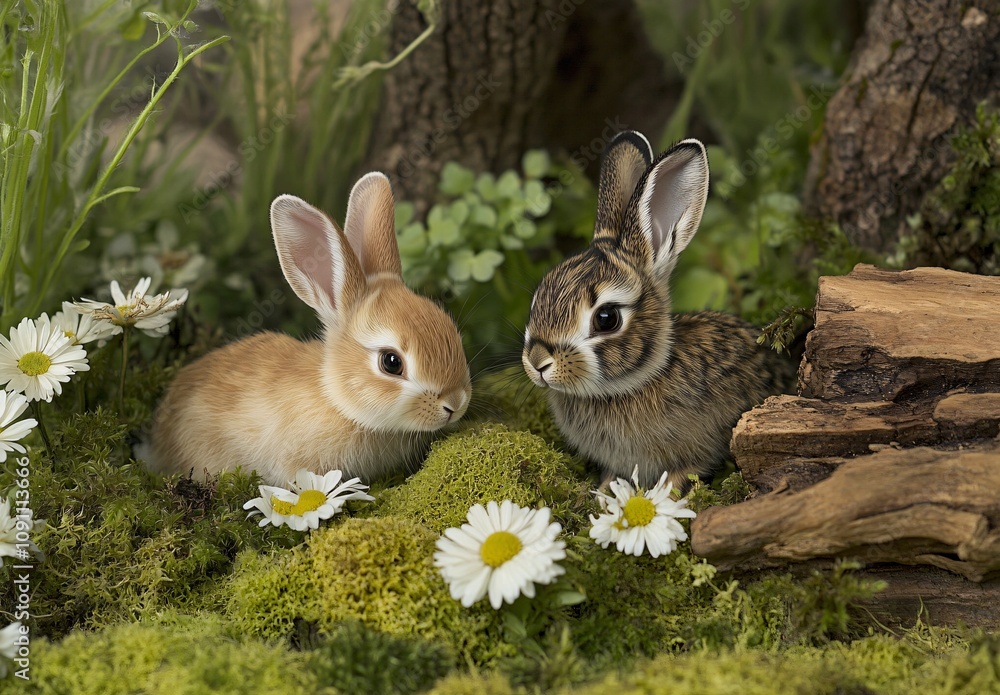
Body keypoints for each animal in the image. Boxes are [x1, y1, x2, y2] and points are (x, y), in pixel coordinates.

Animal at [521, 131, 795, 491]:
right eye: (538, 297)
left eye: (606, 319)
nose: (537, 362)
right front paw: (604, 492)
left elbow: (683, 472)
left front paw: (660, 494)